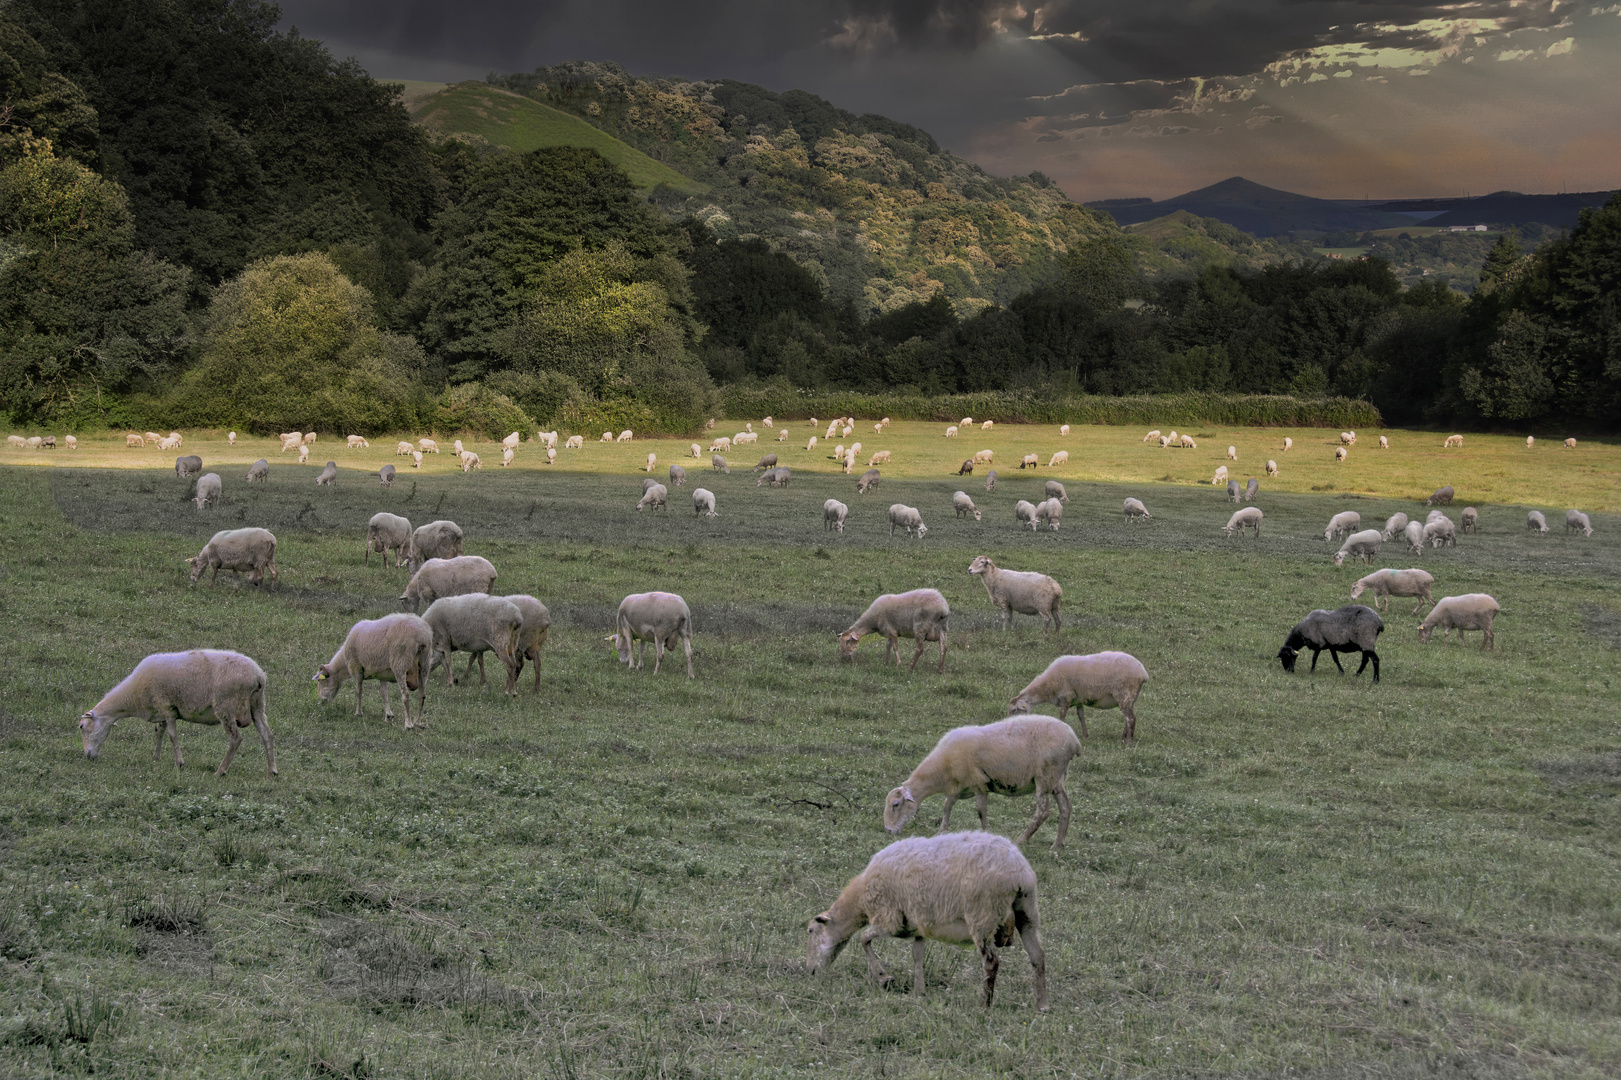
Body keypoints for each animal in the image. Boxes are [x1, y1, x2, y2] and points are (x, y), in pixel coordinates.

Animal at [76, 648, 273, 775]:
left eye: (82, 727)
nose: (88, 756)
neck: (133, 696)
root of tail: (258, 675)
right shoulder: (162, 710)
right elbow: (159, 732)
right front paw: (156, 757)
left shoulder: (167, 707)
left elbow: (172, 735)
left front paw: (179, 763)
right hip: (257, 705)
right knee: (267, 735)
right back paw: (272, 771)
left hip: (226, 707)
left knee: (236, 739)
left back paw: (221, 771)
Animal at [807, 827, 1050, 1005]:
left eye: (810, 930)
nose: (810, 972)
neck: (860, 898)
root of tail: (1019, 872)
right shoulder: (916, 926)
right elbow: (917, 955)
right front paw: (919, 990)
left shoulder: (889, 919)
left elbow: (863, 939)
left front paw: (884, 978)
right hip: (1027, 911)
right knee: (1037, 956)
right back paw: (1041, 1005)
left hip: (983, 916)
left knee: (991, 963)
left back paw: (984, 1005)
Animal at [881, 713, 1082, 849]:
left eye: (895, 805)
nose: (889, 831)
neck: (942, 769)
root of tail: (1074, 740)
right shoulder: (959, 787)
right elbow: (947, 806)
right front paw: (941, 831)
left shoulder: (978, 784)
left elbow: (981, 811)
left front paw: (986, 833)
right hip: (1057, 779)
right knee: (1066, 807)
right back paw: (1057, 844)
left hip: (1045, 776)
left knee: (1042, 812)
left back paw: (1020, 840)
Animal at [1011, 648, 1154, 739]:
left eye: (1013, 710)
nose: (1012, 726)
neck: (1047, 686)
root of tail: (1143, 673)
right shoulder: (1078, 699)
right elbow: (1081, 716)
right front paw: (1085, 735)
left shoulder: (1066, 696)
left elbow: (1062, 715)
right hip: (1131, 697)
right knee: (1129, 717)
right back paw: (1124, 737)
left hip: (1124, 694)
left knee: (1131, 718)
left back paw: (1128, 741)